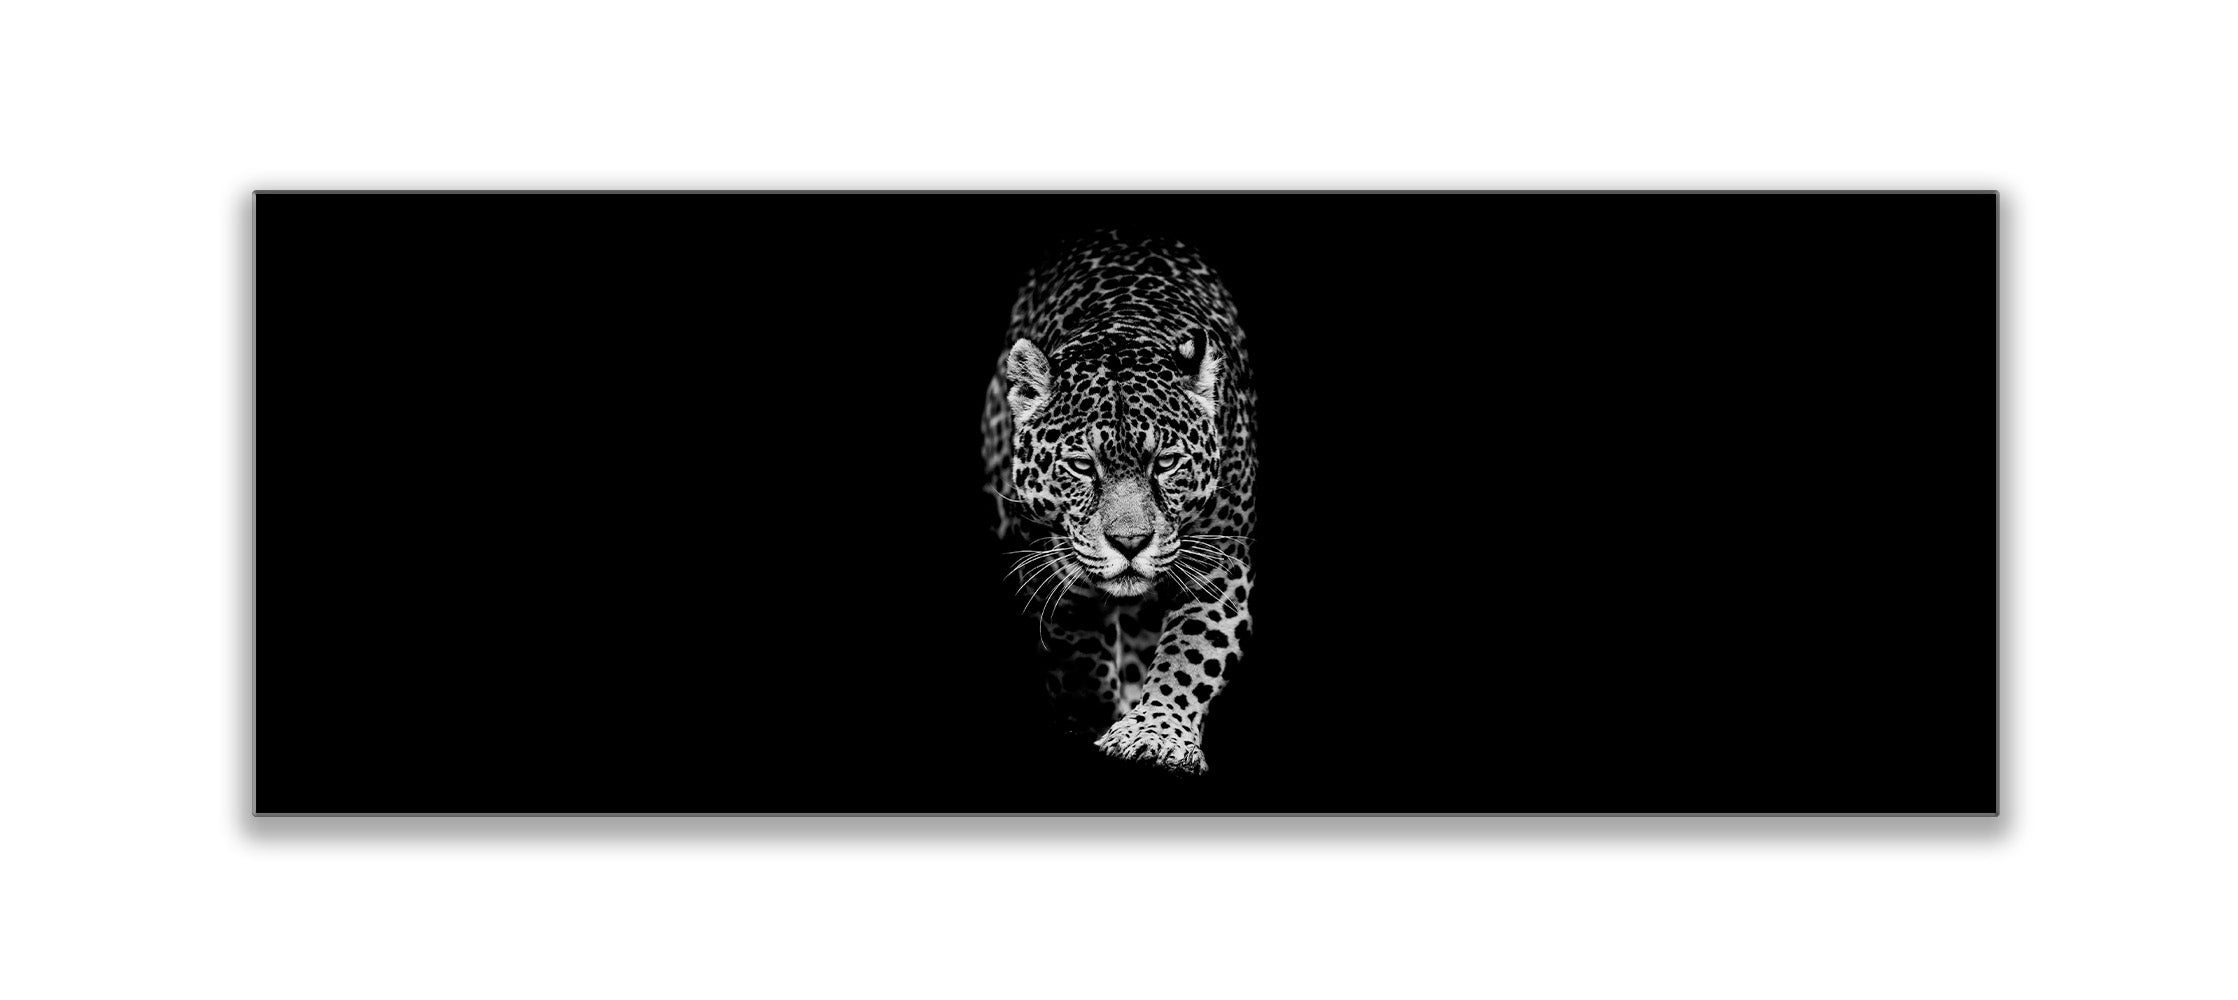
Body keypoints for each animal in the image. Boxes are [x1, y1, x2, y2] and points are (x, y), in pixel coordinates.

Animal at [980, 230, 1258, 777]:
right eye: (1082, 466)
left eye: (1166, 462)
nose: (1130, 543)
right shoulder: (1049, 568)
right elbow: (1077, 654)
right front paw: (1090, 718)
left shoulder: (1220, 564)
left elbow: (1192, 650)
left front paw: (1156, 733)